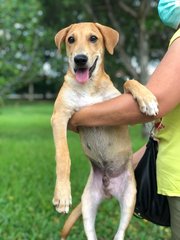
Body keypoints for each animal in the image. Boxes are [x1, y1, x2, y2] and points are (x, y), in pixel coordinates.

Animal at [51, 21, 158, 239]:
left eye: (93, 38)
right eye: (71, 39)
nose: (80, 59)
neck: (88, 87)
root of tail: (108, 190)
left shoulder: (120, 113)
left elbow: (128, 81)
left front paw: (147, 99)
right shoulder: (59, 117)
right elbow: (63, 156)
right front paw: (62, 195)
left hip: (129, 198)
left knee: (120, 233)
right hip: (88, 204)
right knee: (92, 233)